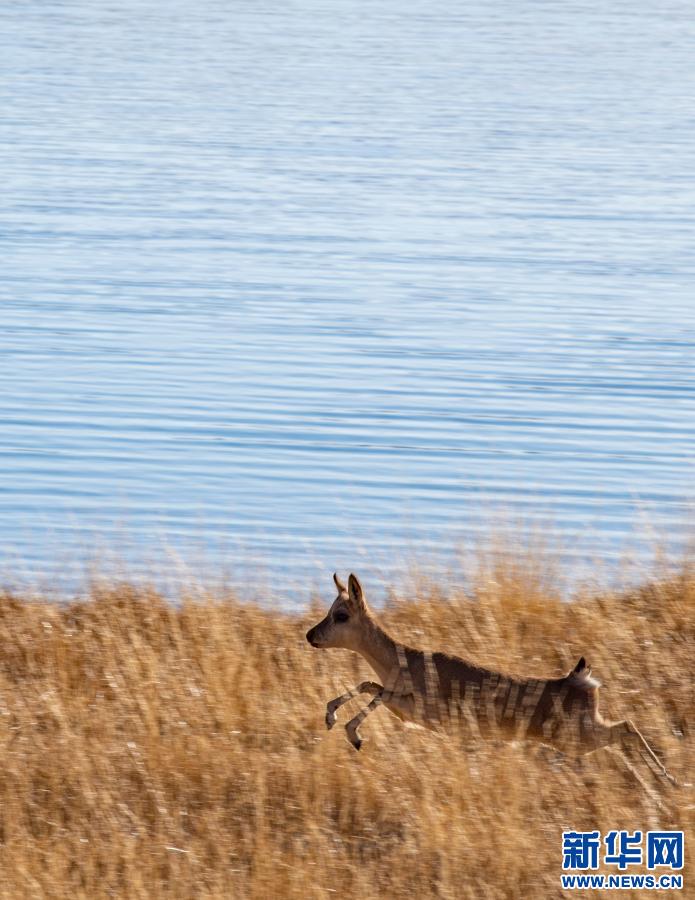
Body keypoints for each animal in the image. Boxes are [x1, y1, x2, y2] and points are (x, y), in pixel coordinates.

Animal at [306, 573, 679, 786]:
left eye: (341, 614)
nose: (311, 636)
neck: (404, 660)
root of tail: (579, 679)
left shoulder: (416, 709)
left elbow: (375, 692)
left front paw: (352, 734)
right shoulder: (404, 708)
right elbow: (369, 685)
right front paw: (332, 718)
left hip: (578, 738)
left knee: (628, 728)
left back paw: (669, 781)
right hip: (583, 736)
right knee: (625, 733)